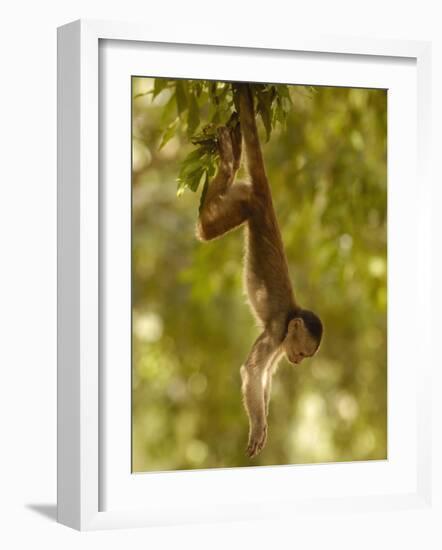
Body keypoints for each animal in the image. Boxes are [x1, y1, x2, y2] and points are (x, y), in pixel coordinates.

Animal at [195, 84, 322, 460]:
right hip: (248, 203)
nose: (298, 363)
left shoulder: (282, 342)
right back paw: (227, 159)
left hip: (246, 198)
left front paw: (262, 420)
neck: (293, 314)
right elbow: (251, 370)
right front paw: (258, 426)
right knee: (205, 229)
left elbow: (264, 376)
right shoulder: (278, 331)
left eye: (303, 356)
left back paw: (234, 149)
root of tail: (267, 200)